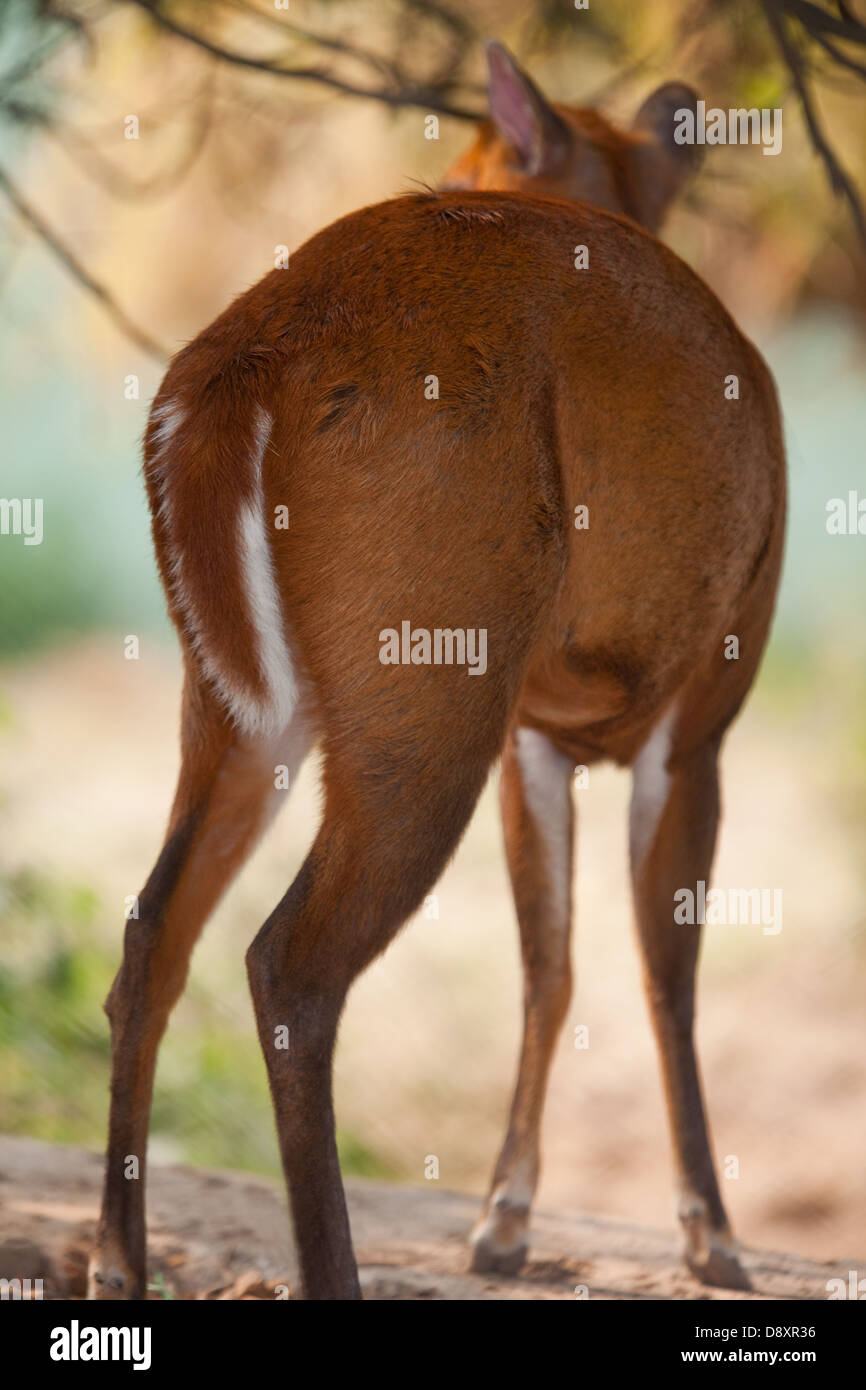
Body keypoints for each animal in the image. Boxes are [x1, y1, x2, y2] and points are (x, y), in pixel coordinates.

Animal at [88, 43, 783, 1301]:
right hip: (428, 671)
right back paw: (328, 1270)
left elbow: (547, 962)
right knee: (289, 964)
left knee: (152, 932)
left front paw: (503, 1221)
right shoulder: (701, 709)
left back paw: (118, 1260)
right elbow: (663, 974)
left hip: (236, 697)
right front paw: (711, 1236)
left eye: (468, 156)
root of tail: (234, 372)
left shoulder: (533, 733)